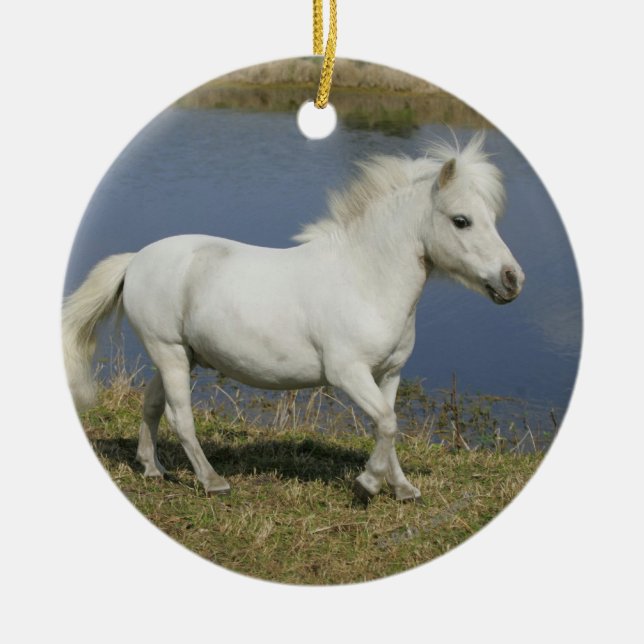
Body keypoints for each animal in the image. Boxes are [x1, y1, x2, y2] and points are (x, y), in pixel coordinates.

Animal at [62, 132, 524, 502]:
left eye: (491, 218)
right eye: (461, 221)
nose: (513, 279)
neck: (364, 277)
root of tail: (136, 259)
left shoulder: (389, 374)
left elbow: (389, 426)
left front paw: (402, 488)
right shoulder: (348, 373)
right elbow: (388, 424)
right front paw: (368, 484)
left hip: (180, 354)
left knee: (153, 405)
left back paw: (153, 468)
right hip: (170, 352)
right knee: (180, 417)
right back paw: (212, 482)